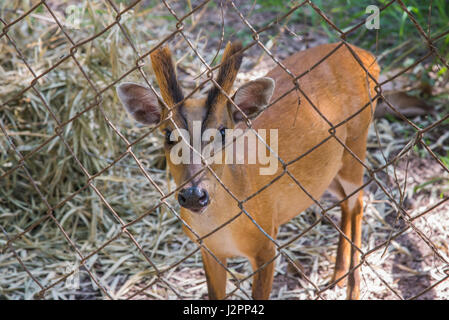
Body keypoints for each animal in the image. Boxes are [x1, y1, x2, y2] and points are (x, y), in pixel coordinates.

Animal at [115, 40, 378, 300]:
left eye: (223, 131)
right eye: (168, 135)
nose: (193, 195)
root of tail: (368, 57)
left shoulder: (266, 244)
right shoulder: (209, 249)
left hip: (357, 143)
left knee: (358, 202)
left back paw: (353, 288)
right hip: (329, 170)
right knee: (345, 201)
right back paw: (338, 276)